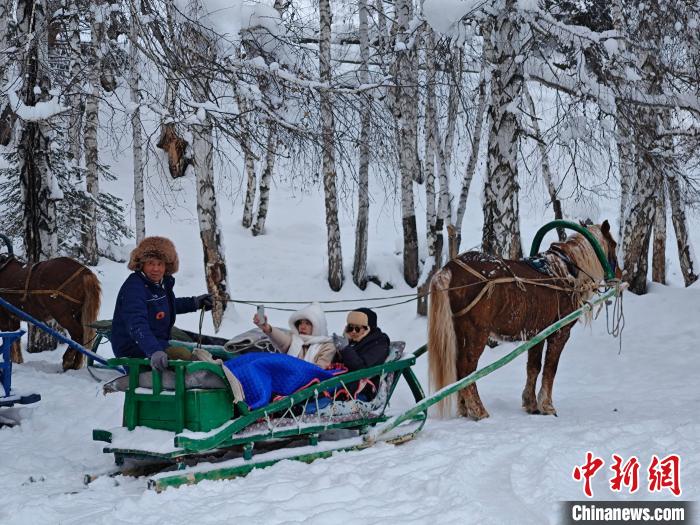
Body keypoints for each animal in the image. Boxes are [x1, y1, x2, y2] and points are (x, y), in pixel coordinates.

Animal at [426, 219, 616, 420]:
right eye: (614, 244)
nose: (618, 274)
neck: (567, 272)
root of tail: (450, 269)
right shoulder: (559, 332)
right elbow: (550, 368)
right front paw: (547, 406)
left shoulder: (537, 334)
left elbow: (533, 367)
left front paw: (531, 403)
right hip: (476, 334)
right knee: (466, 369)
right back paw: (478, 410)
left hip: (460, 334)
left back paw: (464, 409)